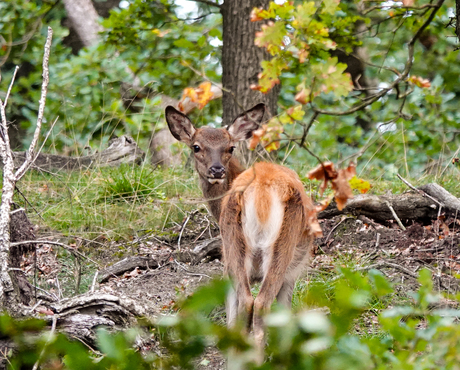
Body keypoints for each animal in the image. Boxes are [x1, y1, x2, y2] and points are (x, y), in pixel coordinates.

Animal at [166, 103, 324, 362]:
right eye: (196, 146)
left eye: (230, 147)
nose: (217, 170)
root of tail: (261, 189)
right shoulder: (289, 275)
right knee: (257, 305)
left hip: (235, 246)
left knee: (247, 308)